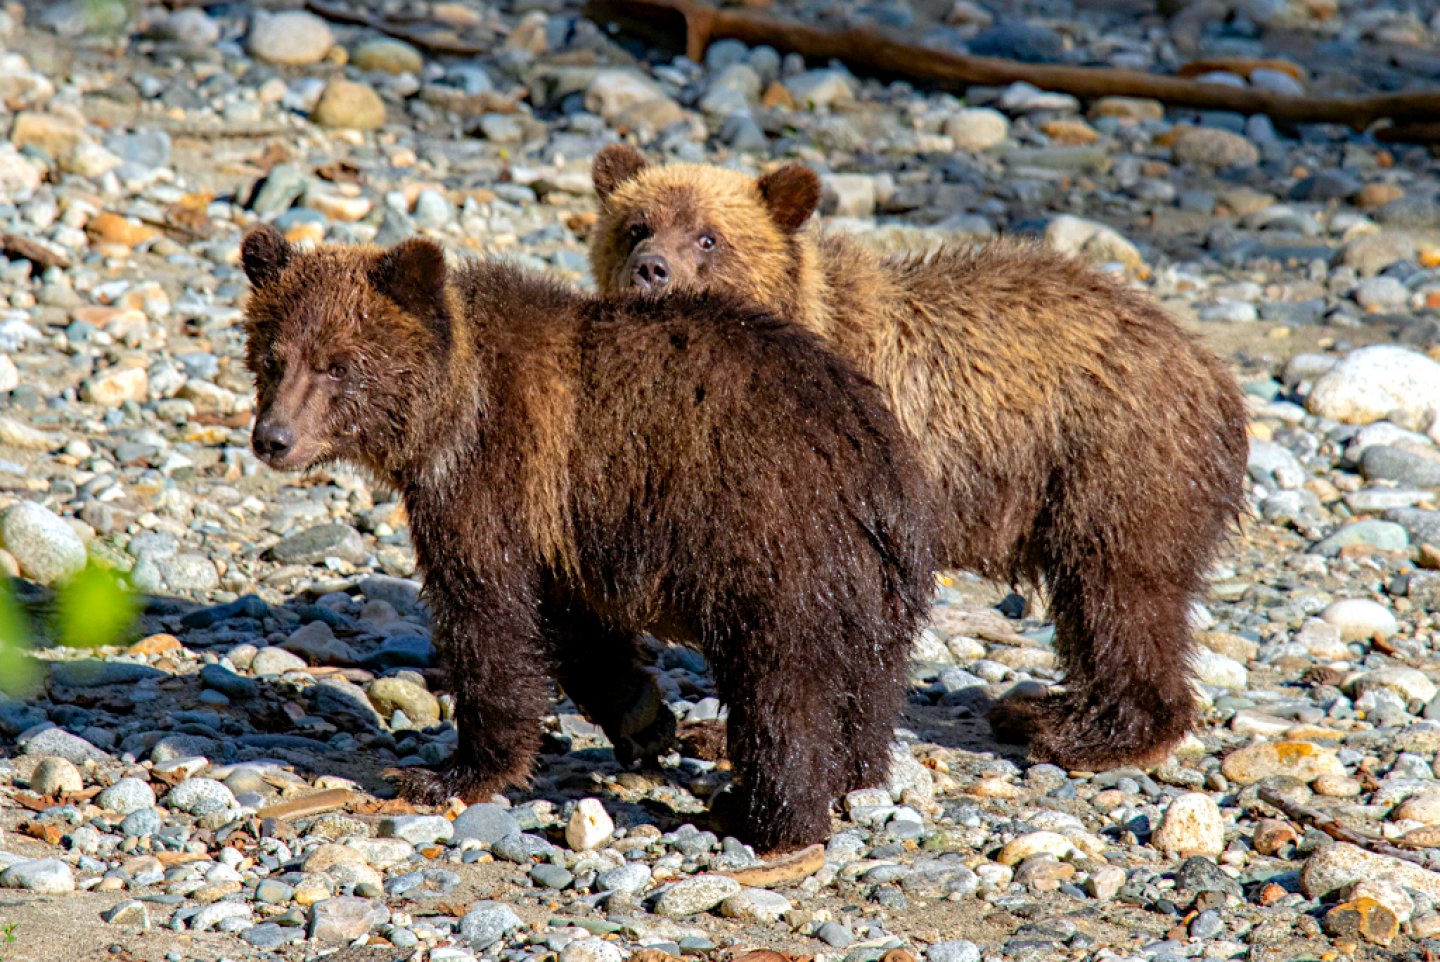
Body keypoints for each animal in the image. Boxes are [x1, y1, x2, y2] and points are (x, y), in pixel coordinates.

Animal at [238, 224, 936, 853]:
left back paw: (763, 817)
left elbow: (489, 620)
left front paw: (451, 773)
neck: (449, 410)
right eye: (273, 357)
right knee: (869, 686)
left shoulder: (494, 476)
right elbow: (573, 628)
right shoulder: (566, 526)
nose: (273, 437)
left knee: (784, 688)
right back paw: (853, 777)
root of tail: (867, 457)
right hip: (874, 583)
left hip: (773, 539)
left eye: (338, 365)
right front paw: (643, 717)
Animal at [588, 145, 1249, 773]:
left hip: (1113, 457)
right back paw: (1040, 709)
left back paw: (1092, 735)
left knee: (1121, 591)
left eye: (708, 236)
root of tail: (1214, 371)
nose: (652, 268)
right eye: (636, 225)